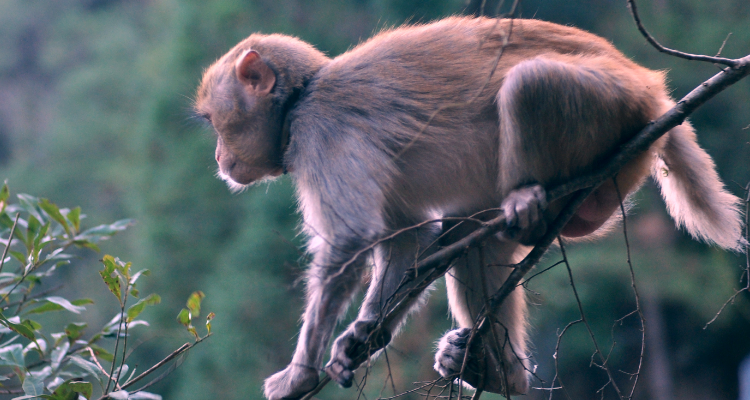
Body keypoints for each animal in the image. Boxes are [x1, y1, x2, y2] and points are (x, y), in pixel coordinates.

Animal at [194, 16, 748, 400]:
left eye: (215, 122)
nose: (218, 158)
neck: (299, 99)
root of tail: (652, 87)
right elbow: (408, 239)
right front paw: (362, 338)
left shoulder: (321, 130)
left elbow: (351, 238)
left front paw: (298, 374)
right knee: (471, 236)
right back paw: (501, 374)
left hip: (609, 101)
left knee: (529, 83)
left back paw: (529, 203)